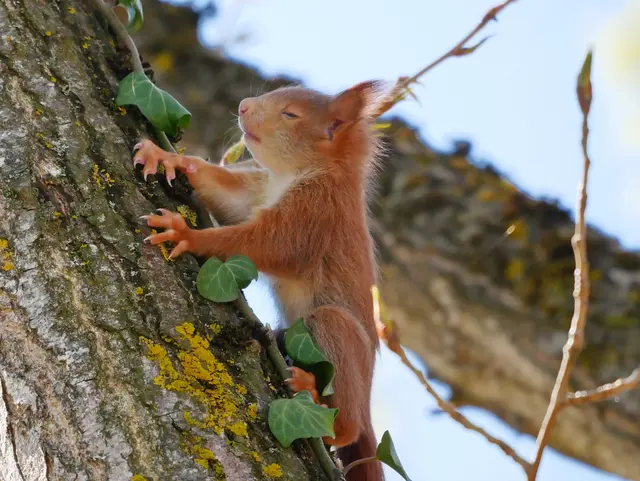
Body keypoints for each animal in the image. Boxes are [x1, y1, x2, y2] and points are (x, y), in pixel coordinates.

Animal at [134, 80, 392, 481]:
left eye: (291, 114)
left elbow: (259, 245)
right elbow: (228, 200)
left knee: (346, 425)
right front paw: (167, 156)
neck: (301, 172)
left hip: (339, 336)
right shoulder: (255, 191)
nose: (242, 106)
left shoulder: (313, 214)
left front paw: (186, 234)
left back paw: (318, 402)